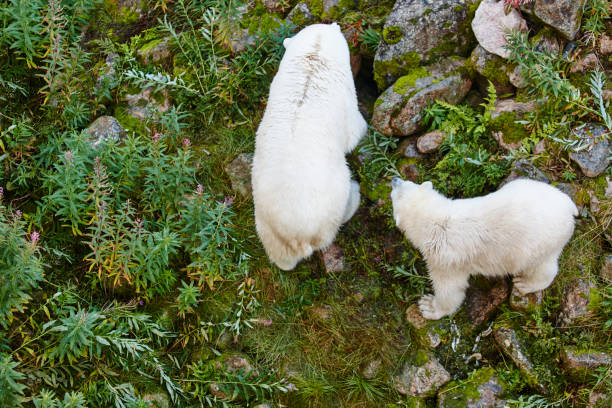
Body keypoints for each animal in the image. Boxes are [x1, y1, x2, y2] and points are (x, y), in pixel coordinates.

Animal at [251, 23, 366, 270]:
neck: (314, 57)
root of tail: (299, 237)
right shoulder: (346, 97)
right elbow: (355, 130)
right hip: (332, 203)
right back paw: (355, 193)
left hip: (267, 225)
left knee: (280, 256)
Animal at [390, 178, 576, 318]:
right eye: (406, 182)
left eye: (395, 193)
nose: (394, 179)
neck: (439, 219)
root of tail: (570, 208)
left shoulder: (444, 258)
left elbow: (450, 289)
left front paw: (429, 306)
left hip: (538, 245)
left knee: (542, 268)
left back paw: (524, 283)